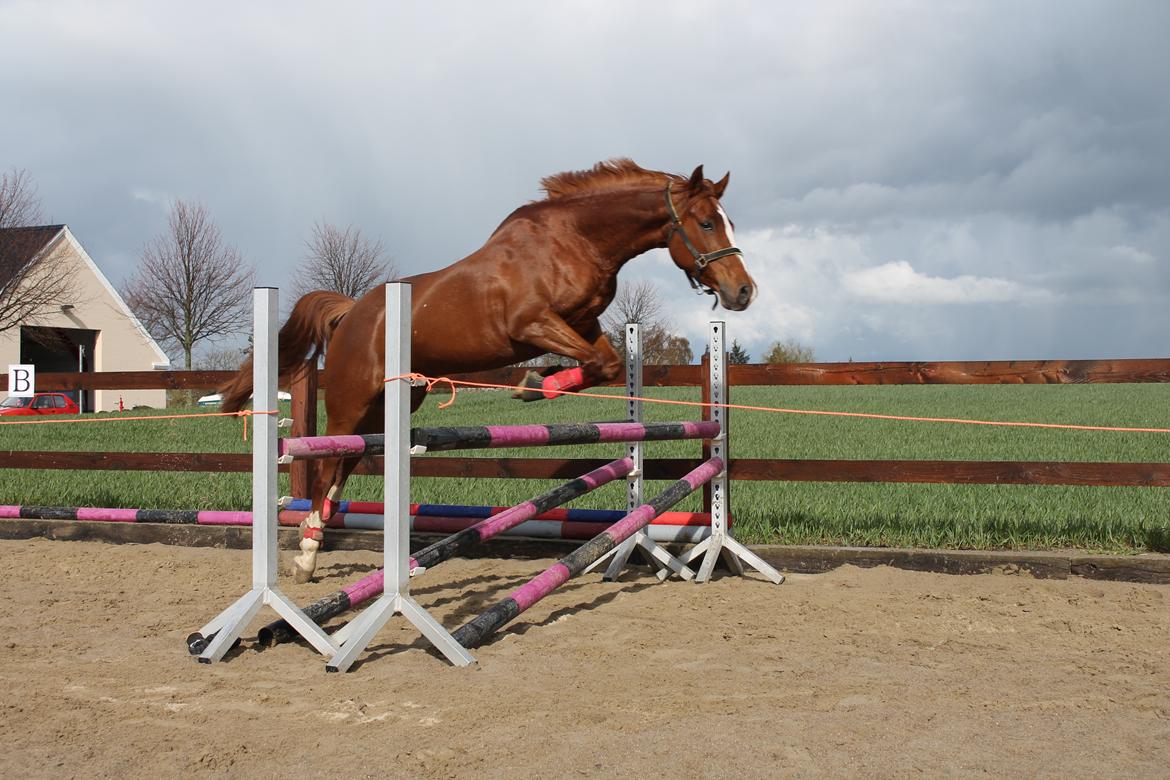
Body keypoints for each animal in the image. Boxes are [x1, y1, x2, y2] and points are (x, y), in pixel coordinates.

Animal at [219, 159, 758, 582]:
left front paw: (539, 383)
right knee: (331, 460)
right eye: (706, 223)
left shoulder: (585, 324)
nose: (744, 292)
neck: (576, 239)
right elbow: (590, 362)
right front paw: (534, 384)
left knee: (347, 464)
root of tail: (352, 313)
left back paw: (312, 549)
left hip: (392, 402)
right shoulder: (531, 323)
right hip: (352, 400)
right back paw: (307, 554)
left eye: (728, 221)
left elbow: (604, 363)